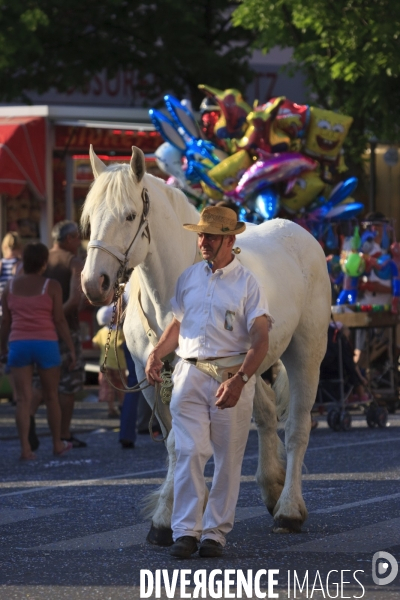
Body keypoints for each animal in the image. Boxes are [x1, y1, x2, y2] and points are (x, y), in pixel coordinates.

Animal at [81, 145, 332, 544]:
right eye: (89, 218)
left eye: (130, 215)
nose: (94, 283)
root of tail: (299, 231)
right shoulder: (149, 376)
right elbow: (176, 443)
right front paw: (170, 517)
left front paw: (168, 517)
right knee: (264, 415)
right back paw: (271, 486)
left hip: (307, 353)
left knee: (297, 428)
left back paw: (289, 509)